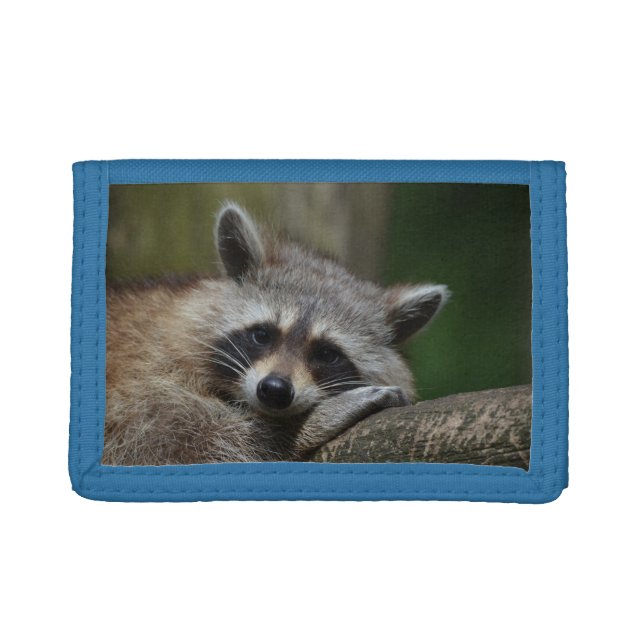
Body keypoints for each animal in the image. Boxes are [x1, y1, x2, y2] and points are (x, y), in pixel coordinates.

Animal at [103, 203, 449, 465]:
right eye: (262, 334)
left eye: (327, 353)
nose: (275, 390)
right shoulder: (141, 386)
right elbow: (182, 444)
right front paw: (305, 424)